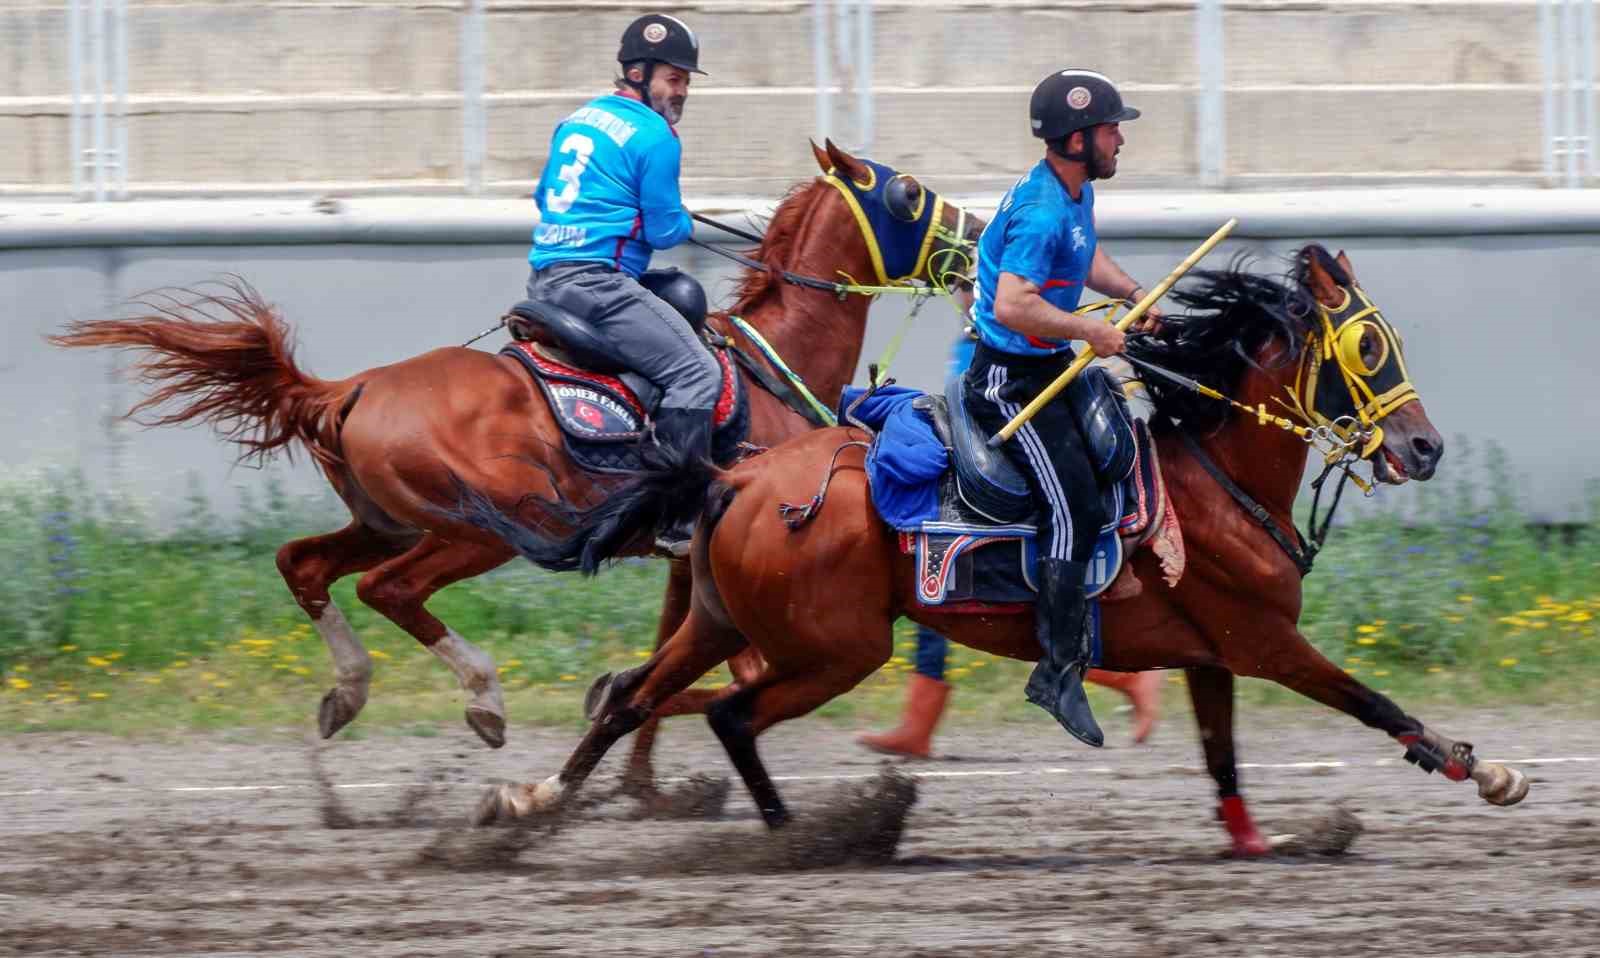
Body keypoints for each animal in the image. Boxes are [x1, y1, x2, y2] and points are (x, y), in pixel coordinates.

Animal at [50, 138, 979, 777]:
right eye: (905, 190)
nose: (975, 237)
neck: (765, 364)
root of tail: (351, 387)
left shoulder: (692, 561)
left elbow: (670, 660)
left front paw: (641, 781)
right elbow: (707, 669)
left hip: (385, 522)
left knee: (304, 564)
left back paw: (348, 691)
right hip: (480, 531)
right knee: (388, 590)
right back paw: (483, 699)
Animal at [467, 246, 1529, 857]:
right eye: (1368, 349)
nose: (1424, 447)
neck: (1211, 479)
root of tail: (740, 477)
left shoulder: (1211, 655)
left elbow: (1224, 760)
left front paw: (1259, 844)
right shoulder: (1265, 642)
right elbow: (1375, 702)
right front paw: (1482, 771)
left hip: (721, 620)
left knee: (630, 695)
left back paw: (528, 802)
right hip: (835, 648)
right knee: (728, 714)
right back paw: (796, 838)